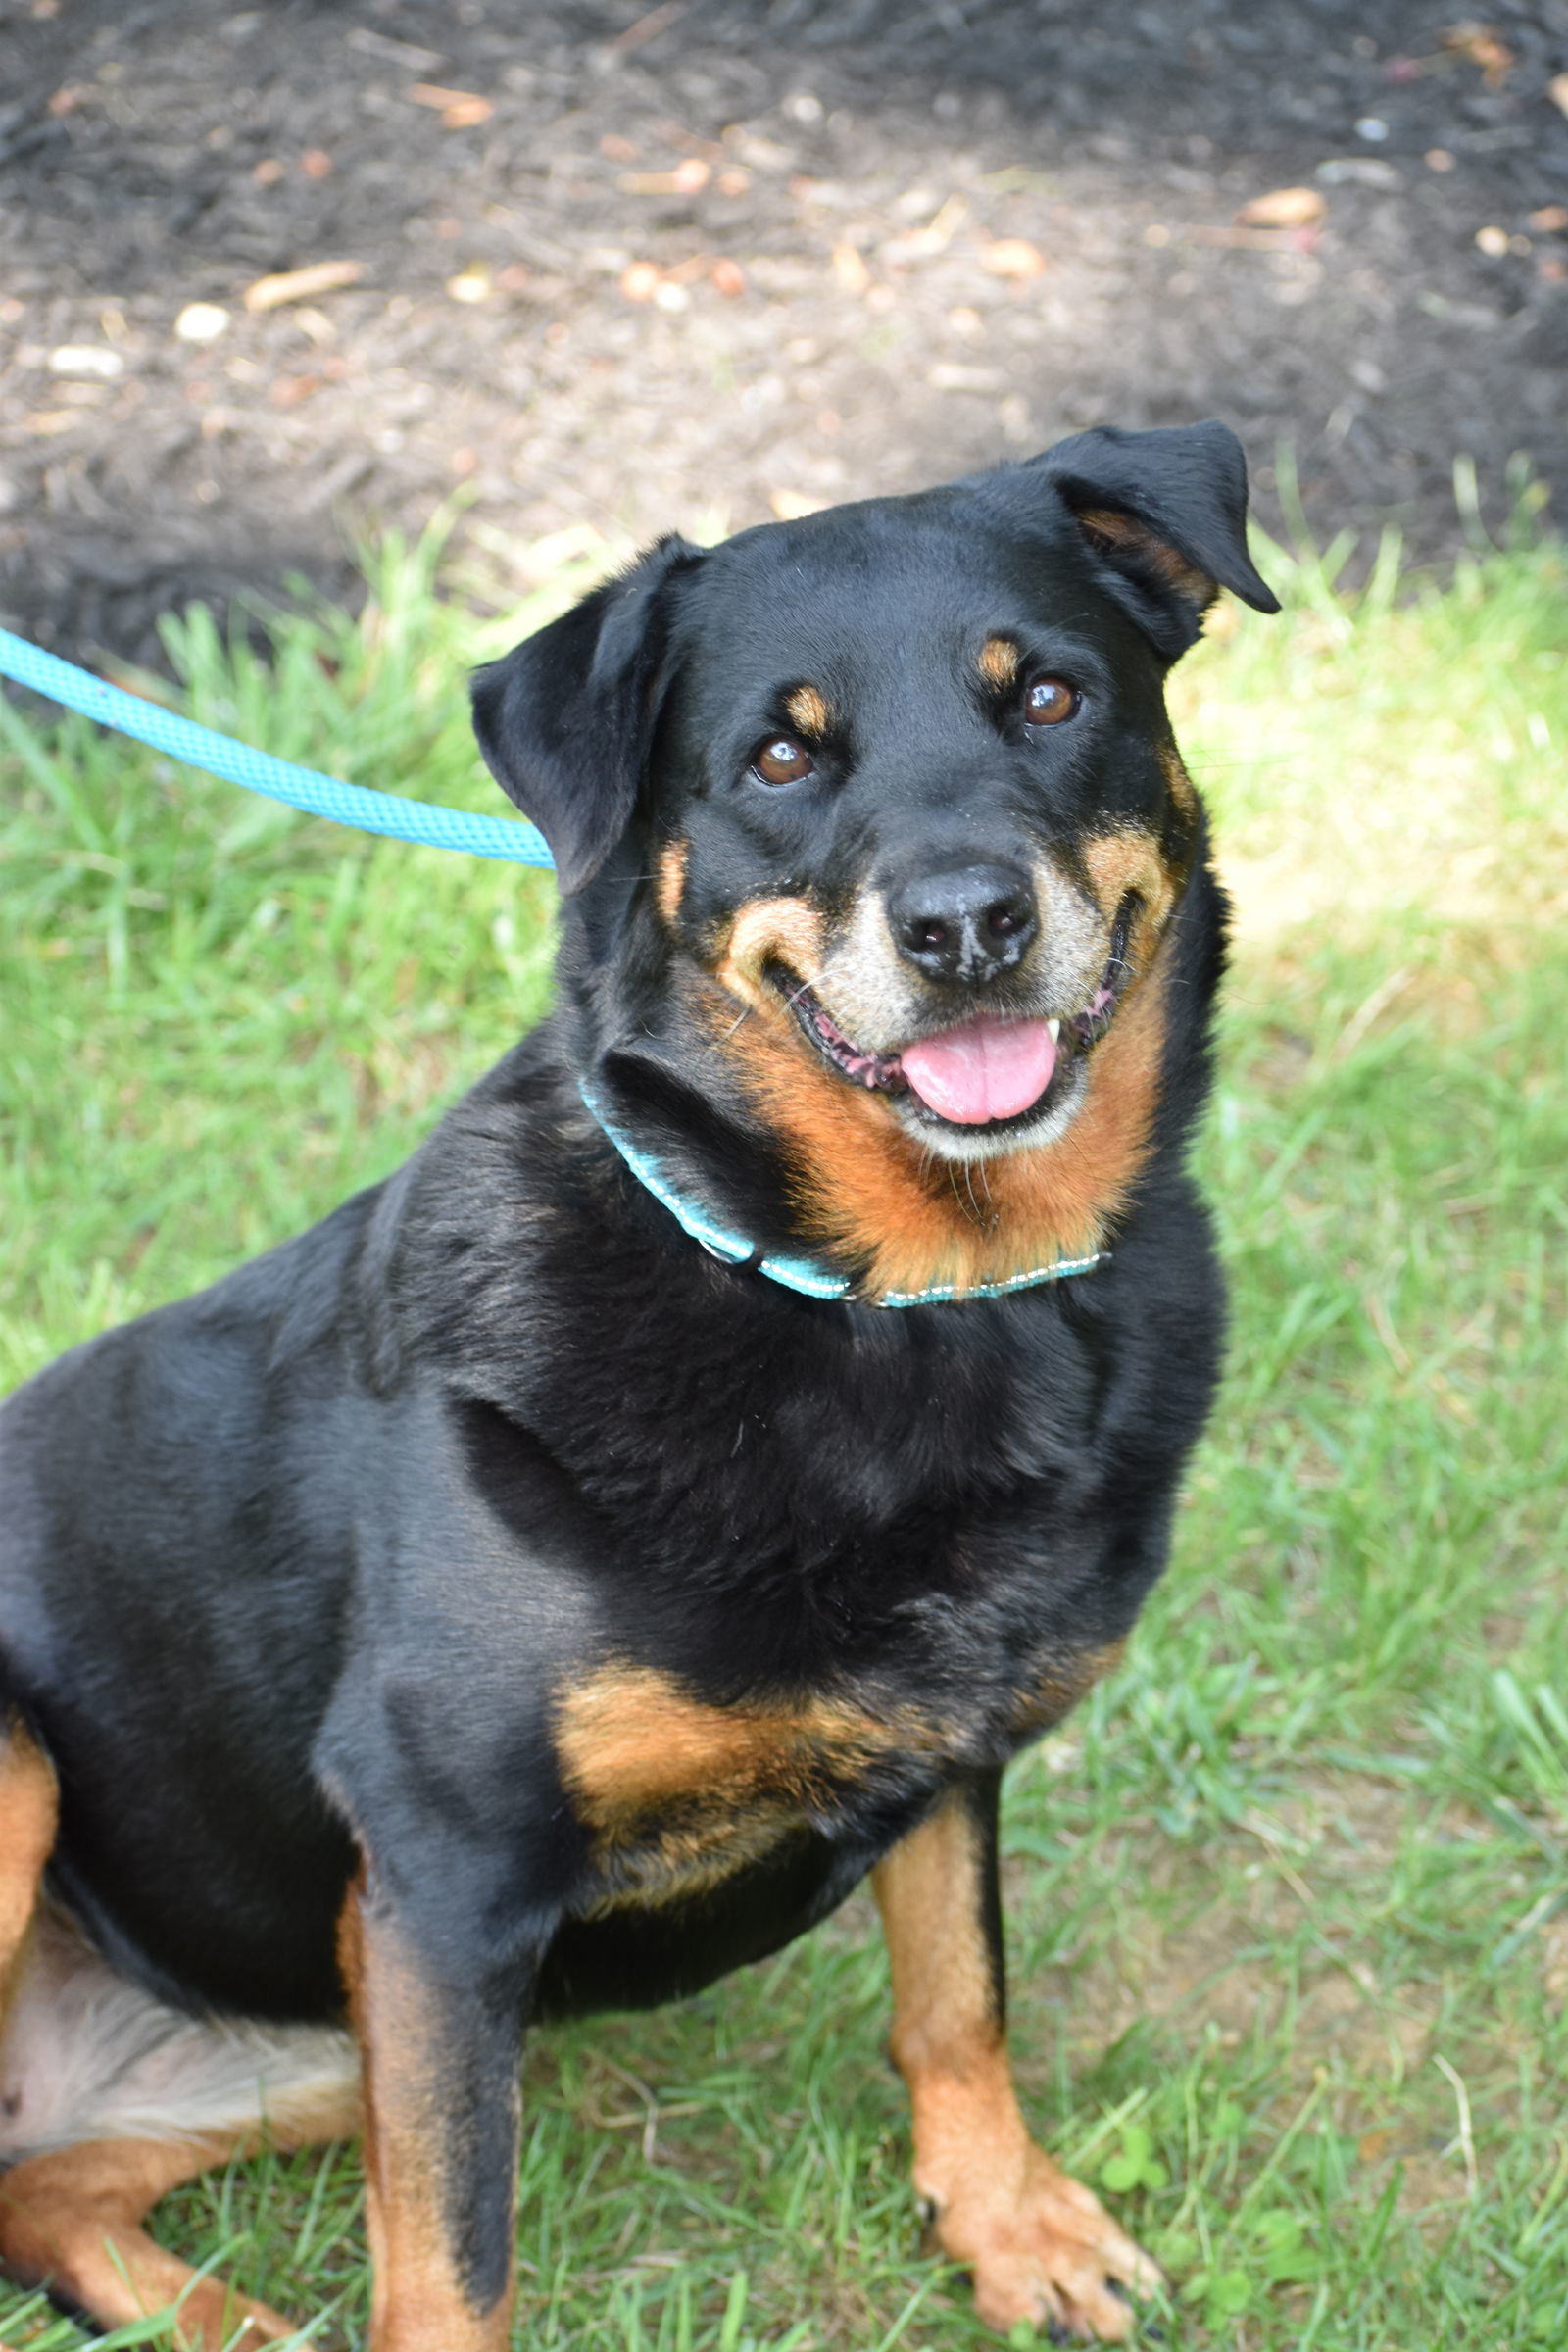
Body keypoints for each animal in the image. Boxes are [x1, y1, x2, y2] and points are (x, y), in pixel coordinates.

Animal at [0, 427, 1278, 2352]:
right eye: (780, 754)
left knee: (39, 2194)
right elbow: (454, 2265)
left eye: (1052, 696)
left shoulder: (949, 1748)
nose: (969, 924)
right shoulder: (444, 1874)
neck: (895, 1304)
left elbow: (956, 1991)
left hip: (298, 2041)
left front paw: (1011, 2225)